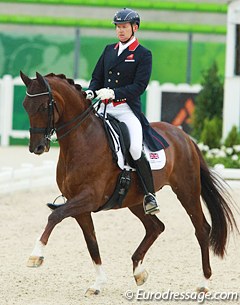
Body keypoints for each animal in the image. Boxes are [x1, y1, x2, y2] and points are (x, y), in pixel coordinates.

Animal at [20, 70, 238, 294]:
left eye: (44, 106)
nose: (37, 147)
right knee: (155, 227)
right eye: (25, 106)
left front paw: (36, 255)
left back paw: (204, 282)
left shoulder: (89, 198)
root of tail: (184, 136)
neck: (82, 140)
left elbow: (55, 216)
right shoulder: (79, 205)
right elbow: (91, 242)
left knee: (201, 229)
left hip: (187, 190)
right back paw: (139, 272)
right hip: (135, 200)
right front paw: (98, 283)